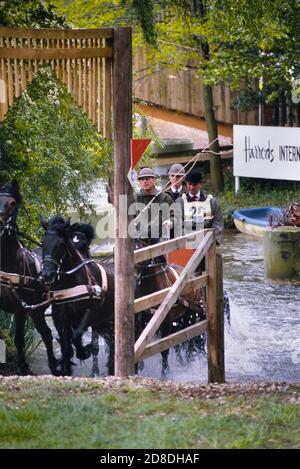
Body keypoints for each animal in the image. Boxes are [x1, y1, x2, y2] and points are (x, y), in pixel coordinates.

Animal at [0, 179, 57, 372]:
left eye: (12, 203)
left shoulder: (20, 310)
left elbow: (19, 340)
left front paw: (24, 367)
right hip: (37, 310)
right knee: (46, 333)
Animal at [39, 217, 115, 376]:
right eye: (43, 242)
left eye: (61, 244)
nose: (47, 274)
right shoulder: (60, 317)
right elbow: (66, 345)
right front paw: (65, 368)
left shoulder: (91, 313)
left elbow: (77, 335)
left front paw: (84, 351)